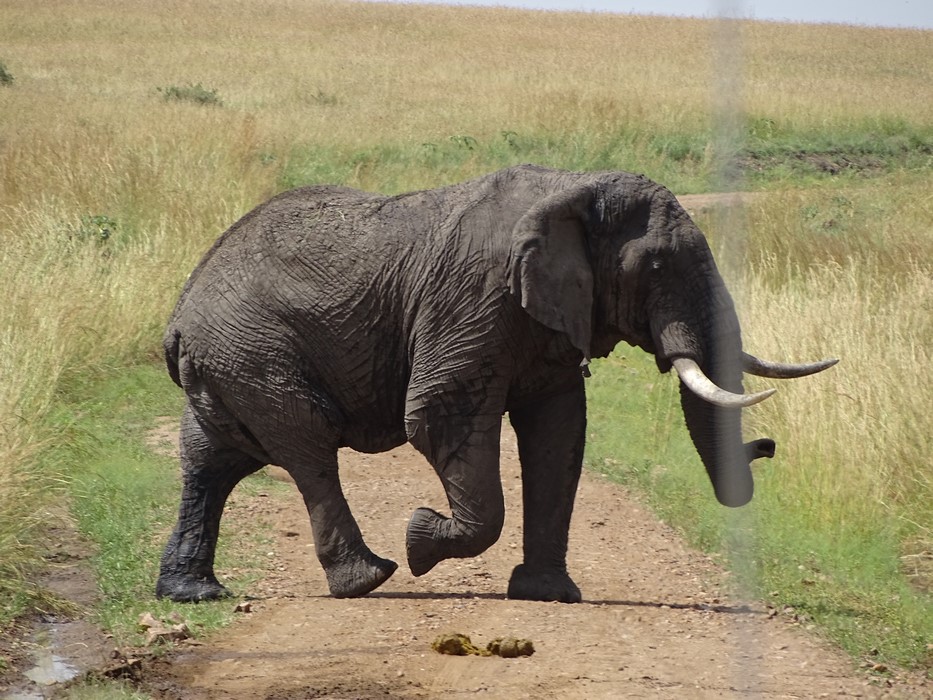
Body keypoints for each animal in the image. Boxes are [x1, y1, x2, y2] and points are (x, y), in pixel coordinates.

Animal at [155, 164, 836, 604]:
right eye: (658, 264)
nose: (767, 448)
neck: (571, 190)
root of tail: (179, 317)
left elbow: (560, 433)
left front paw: (549, 596)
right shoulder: (474, 299)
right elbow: (438, 414)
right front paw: (420, 539)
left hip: (230, 364)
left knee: (211, 460)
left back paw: (195, 594)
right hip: (255, 353)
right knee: (309, 449)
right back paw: (372, 578)